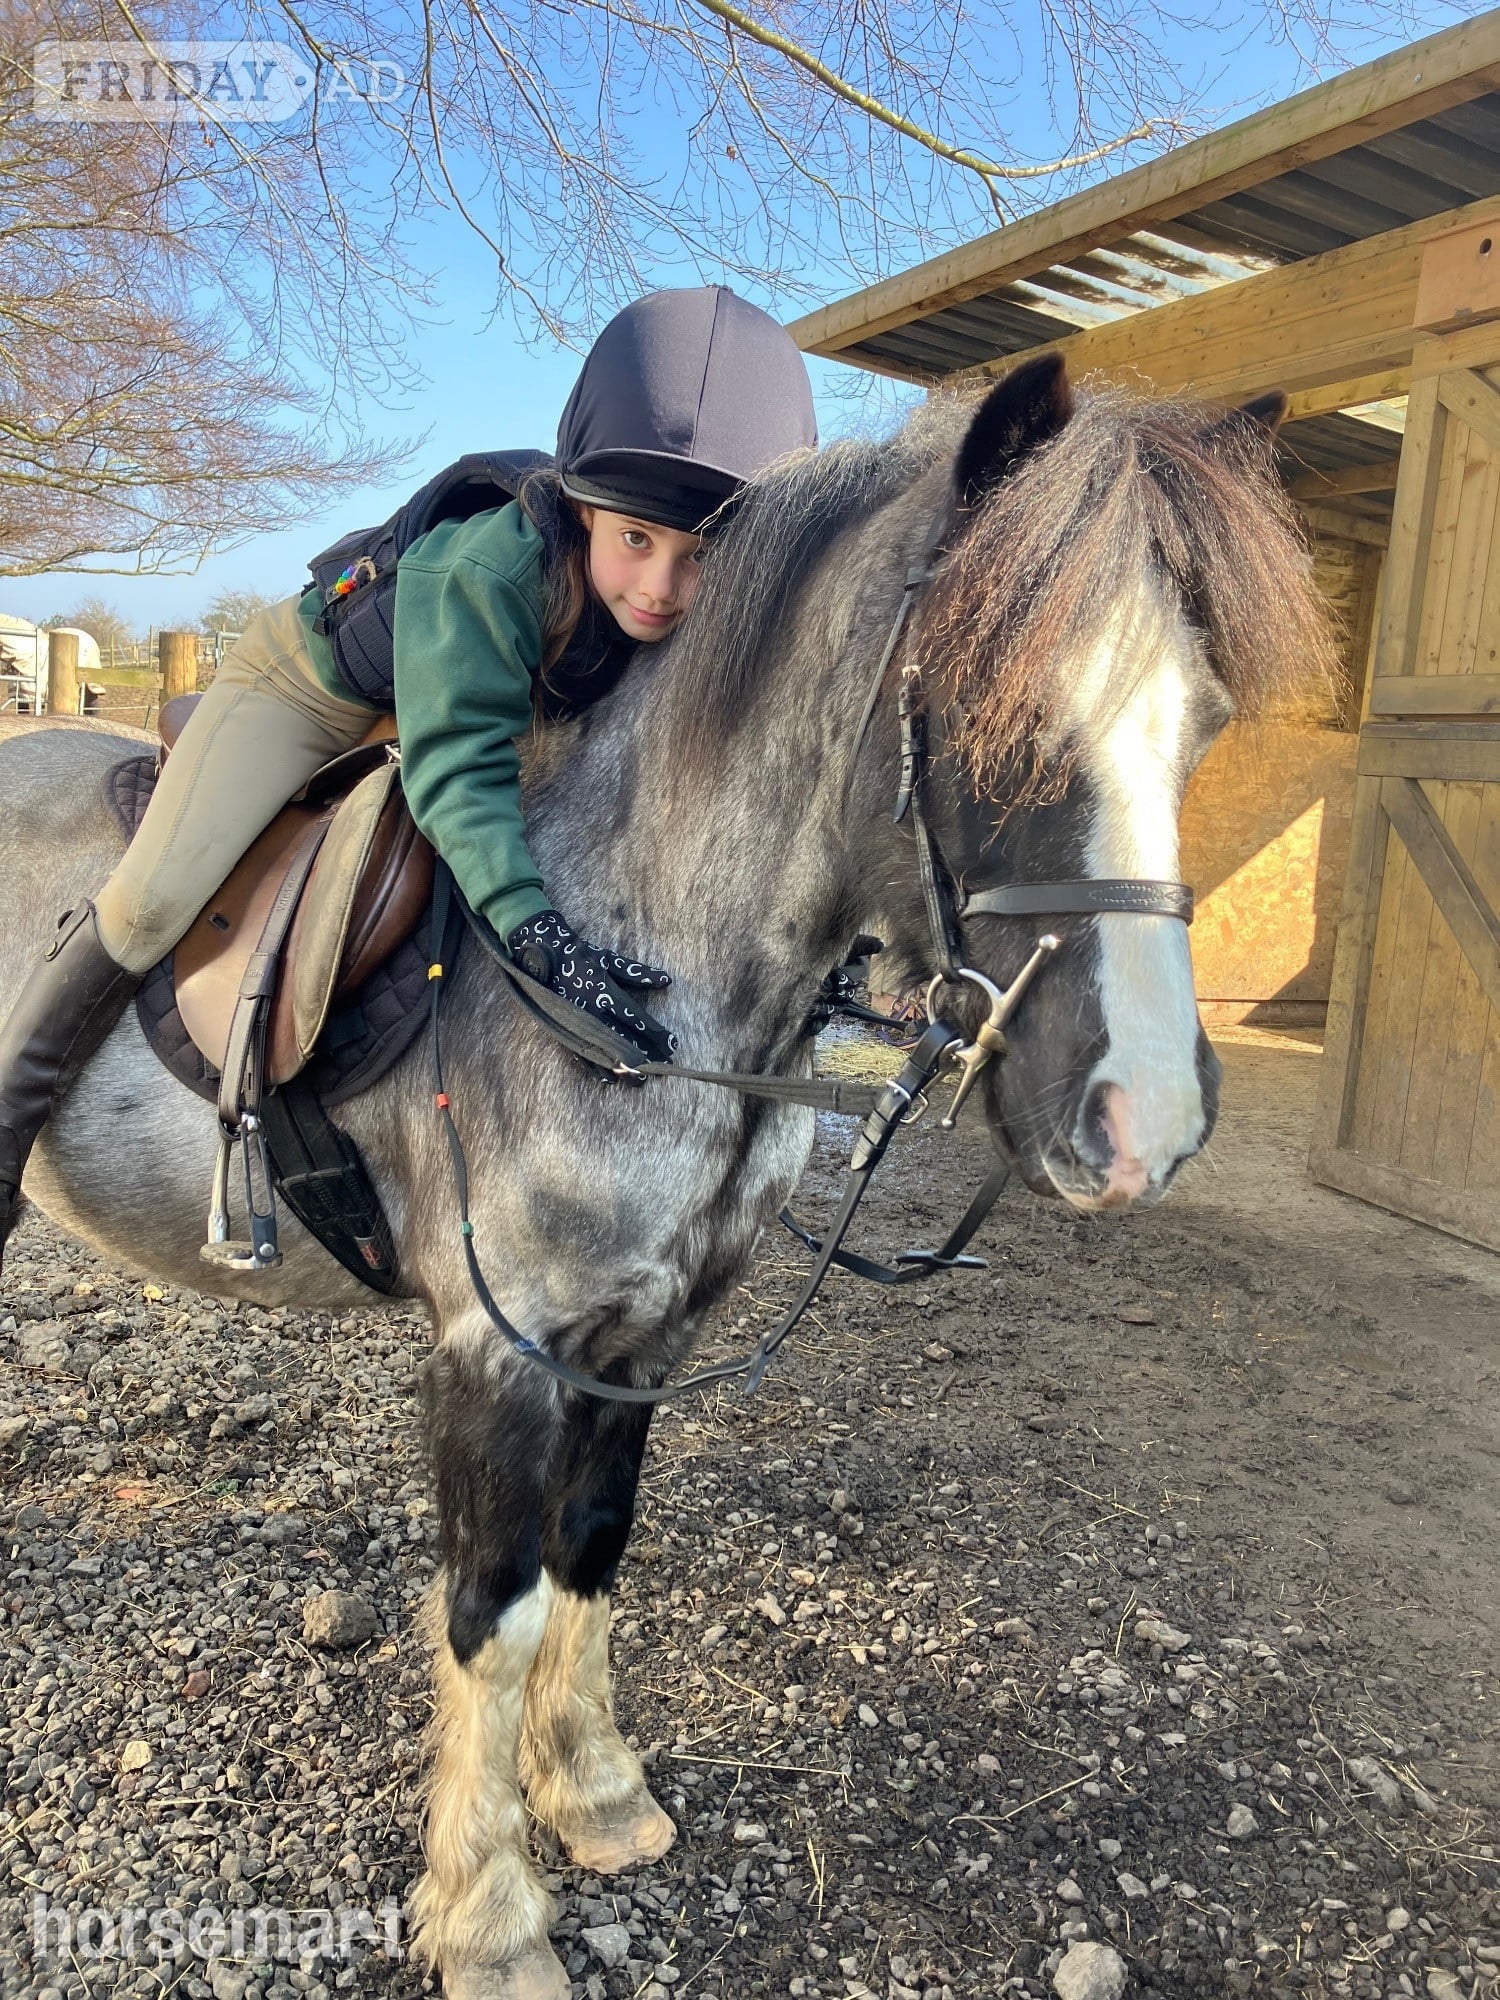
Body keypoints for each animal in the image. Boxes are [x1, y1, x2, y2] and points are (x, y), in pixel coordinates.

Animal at [0, 354, 1330, 1998]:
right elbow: (490, 1615)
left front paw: (596, 1794)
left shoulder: (644, 1338)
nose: (1147, 1118)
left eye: (1204, 720)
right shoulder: (497, 1349)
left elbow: (592, 1552)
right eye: (987, 710)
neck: (652, 977)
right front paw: (492, 1917)